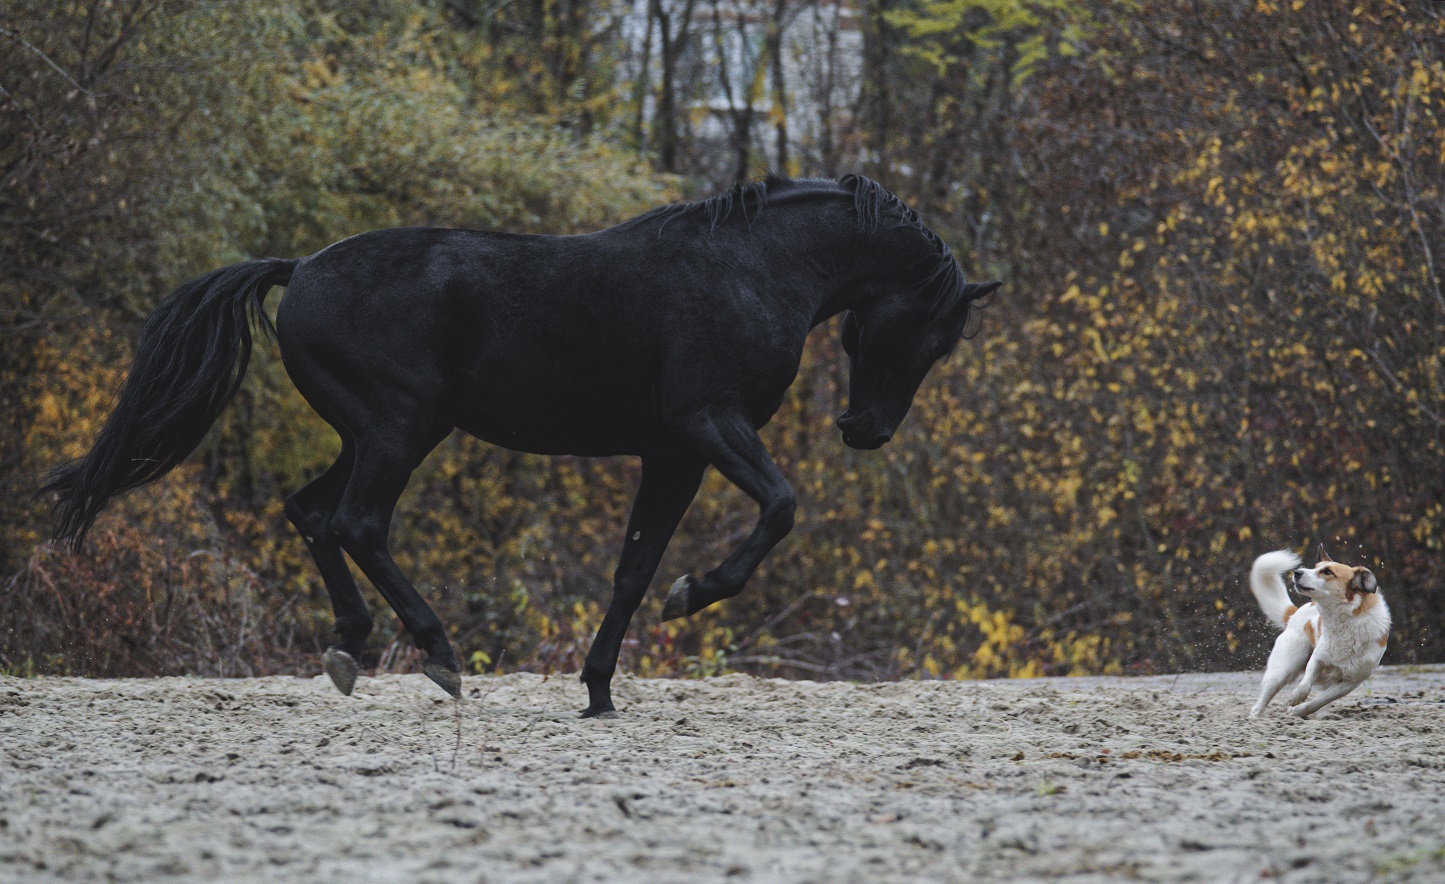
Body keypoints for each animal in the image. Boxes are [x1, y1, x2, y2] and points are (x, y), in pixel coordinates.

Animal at [44, 174, 1000, 717]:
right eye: (934, 334)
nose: (866, 431)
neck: (752, 268)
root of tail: (299, 268)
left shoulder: (673, 454)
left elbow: (632, 570)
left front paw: (600, 691)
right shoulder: (706, 426)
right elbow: (777, 508)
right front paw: (695, 595)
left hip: (380, 430)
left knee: (311, 514)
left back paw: (351, 647)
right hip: (398, 428)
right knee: (355, 523)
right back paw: (435, 655)